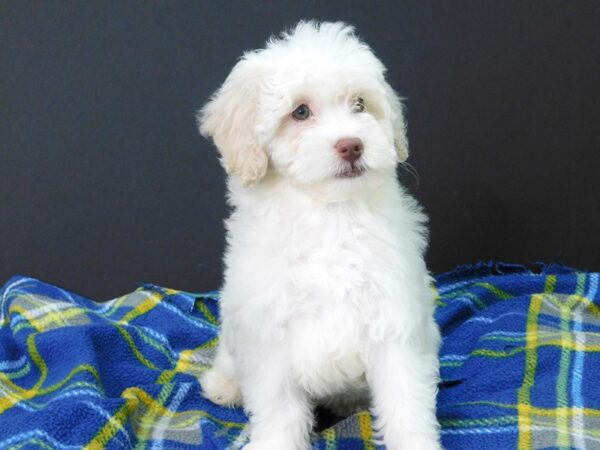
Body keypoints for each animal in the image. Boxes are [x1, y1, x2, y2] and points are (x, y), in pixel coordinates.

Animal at [197, 21, 440, 450]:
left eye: (359, 104)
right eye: (300, 112)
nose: (352, 145)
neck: (330, 214)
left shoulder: (394, 319)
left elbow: (405, 399)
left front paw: (415, 442)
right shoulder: (268, 333)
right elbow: (278, 410)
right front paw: (274, 443)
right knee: (229, 359)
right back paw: (224, 386)